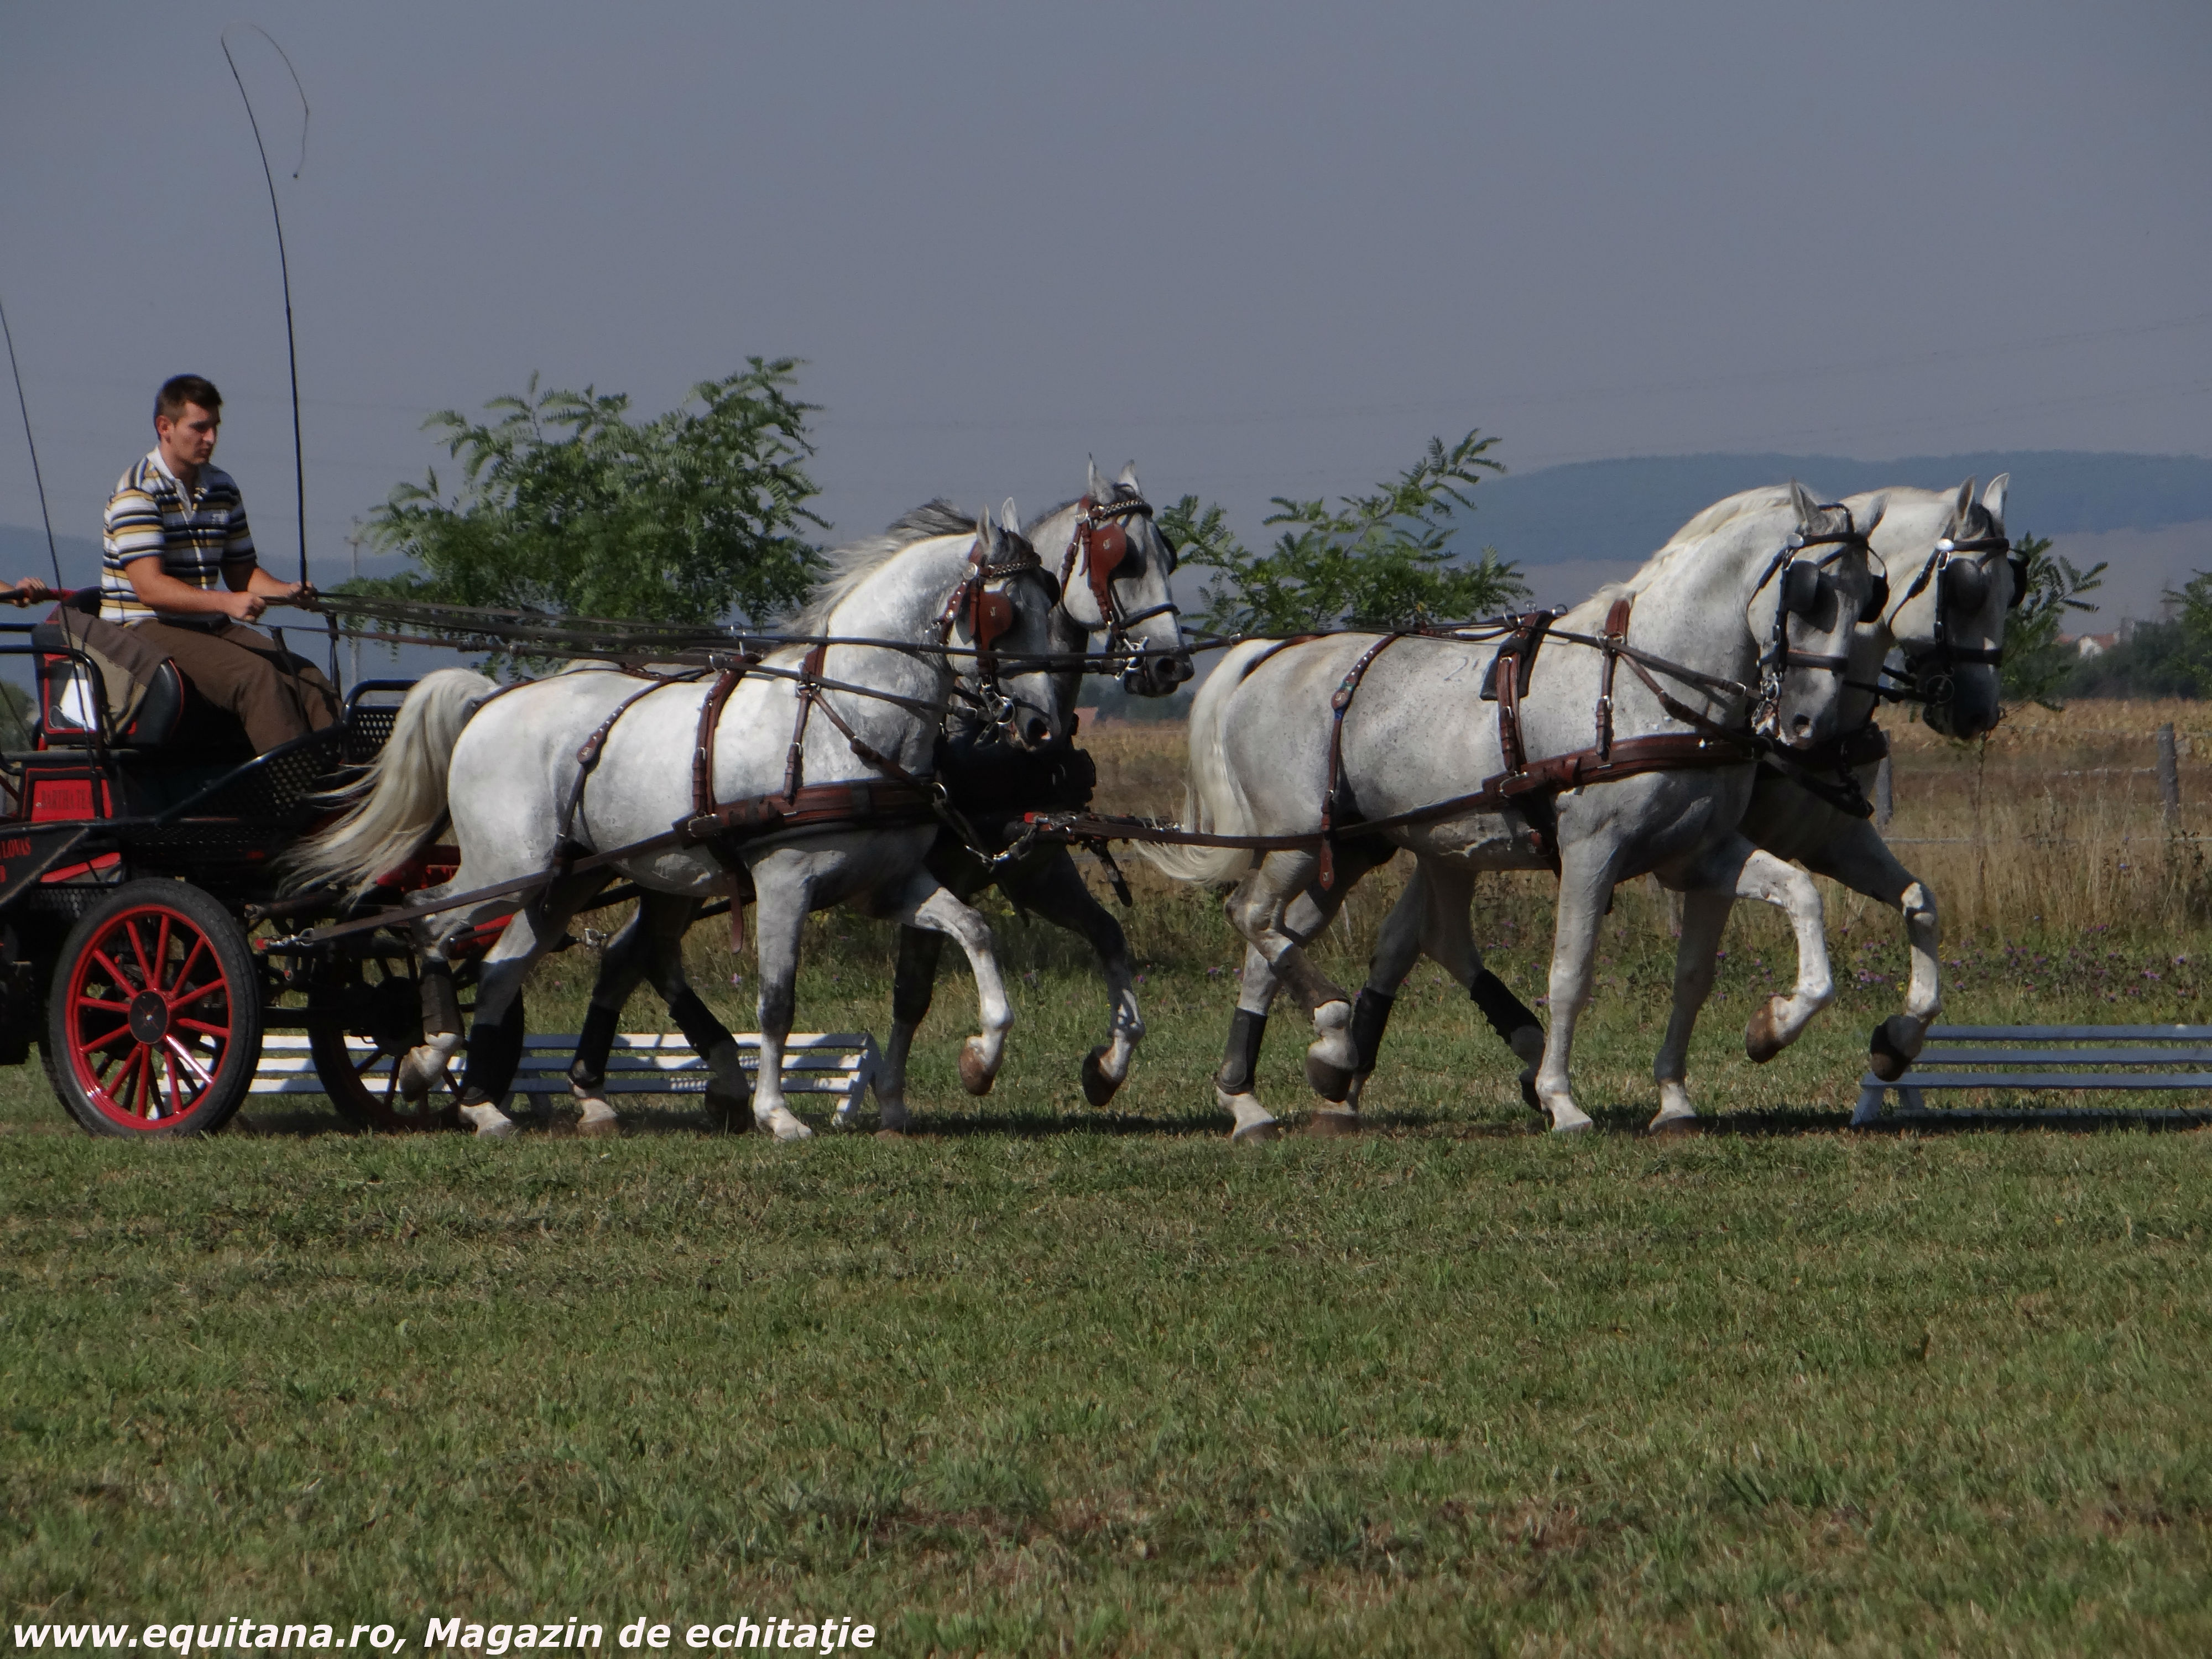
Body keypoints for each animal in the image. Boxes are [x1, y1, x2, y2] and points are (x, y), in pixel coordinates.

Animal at [288, 507, 1071, 1141]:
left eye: (1053, 606)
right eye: (1005, 612)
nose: (1042, 727)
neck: (841, 725)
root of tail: (493, 700)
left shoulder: (890, 883)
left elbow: (975, 930)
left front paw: (979, 1061)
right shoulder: (784, 884)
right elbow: (776, 1000)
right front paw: (776, 1114)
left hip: (564, 883)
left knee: (503, 967)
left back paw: (485, 1104)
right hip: (507, 869)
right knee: (428, 922)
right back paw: (426, 1058)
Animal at [1141, 484, 1885, 1141]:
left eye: (1867, 599)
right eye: (1811, 592)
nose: (1808, 723)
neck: (1648, 686)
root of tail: (1269, 658)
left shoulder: (1698, 855)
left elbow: (1769, 919)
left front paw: (1756, 1039)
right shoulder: (1592, 850)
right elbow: (1570, 973)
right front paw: (1563, 1101)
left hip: (1352, 849)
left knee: (1281, 943)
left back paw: (1259, 1097)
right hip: (1297, 841)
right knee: (1251, 916)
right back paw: (1328, 1039)